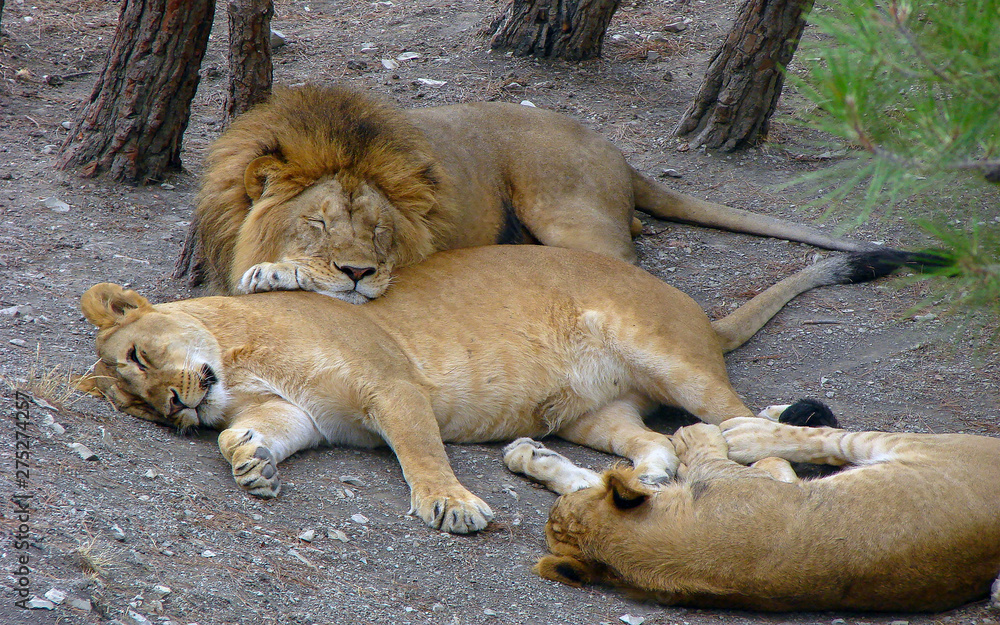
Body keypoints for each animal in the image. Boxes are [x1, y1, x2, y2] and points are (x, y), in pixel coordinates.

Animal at [81, 245, 927, 534]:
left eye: (140, 356)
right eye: (137, 403)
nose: (176, 404)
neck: (241, 361)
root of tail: (702, 317)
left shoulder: (393, 385)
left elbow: (421, 453)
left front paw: (451, 504)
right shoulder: (303, 416)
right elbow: (249, 433)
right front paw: (249, 460)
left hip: (669, 358)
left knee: (757, 443)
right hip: (595, 413)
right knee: (658, 447)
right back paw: (603, 477)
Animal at [510, 414, 1000, 612]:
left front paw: (534, 459)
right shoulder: (739, 483)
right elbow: (728, 460)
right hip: (916, 443)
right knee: (834, 438)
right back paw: (747, 433)